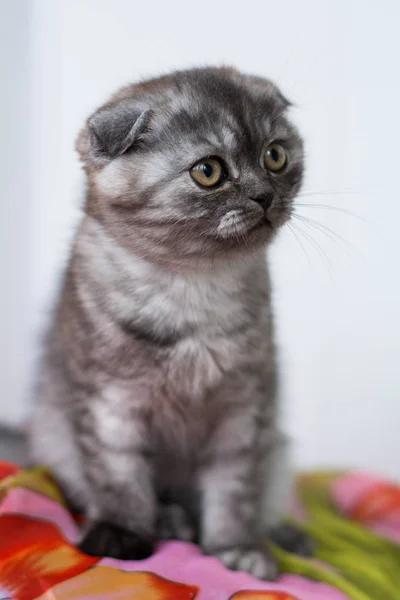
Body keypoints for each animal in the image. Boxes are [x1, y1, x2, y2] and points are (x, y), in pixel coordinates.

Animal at [28, 68, 306, 580]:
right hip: (54, 436)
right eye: (208, 171)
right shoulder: (109, 406)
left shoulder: (244, 411)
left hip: (278, 449)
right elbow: (121, 480)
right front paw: (123, 534)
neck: (191, 289)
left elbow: (236, 490)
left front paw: (237, 549)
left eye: (275, 156)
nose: (265, 195)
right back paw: (170, 521)